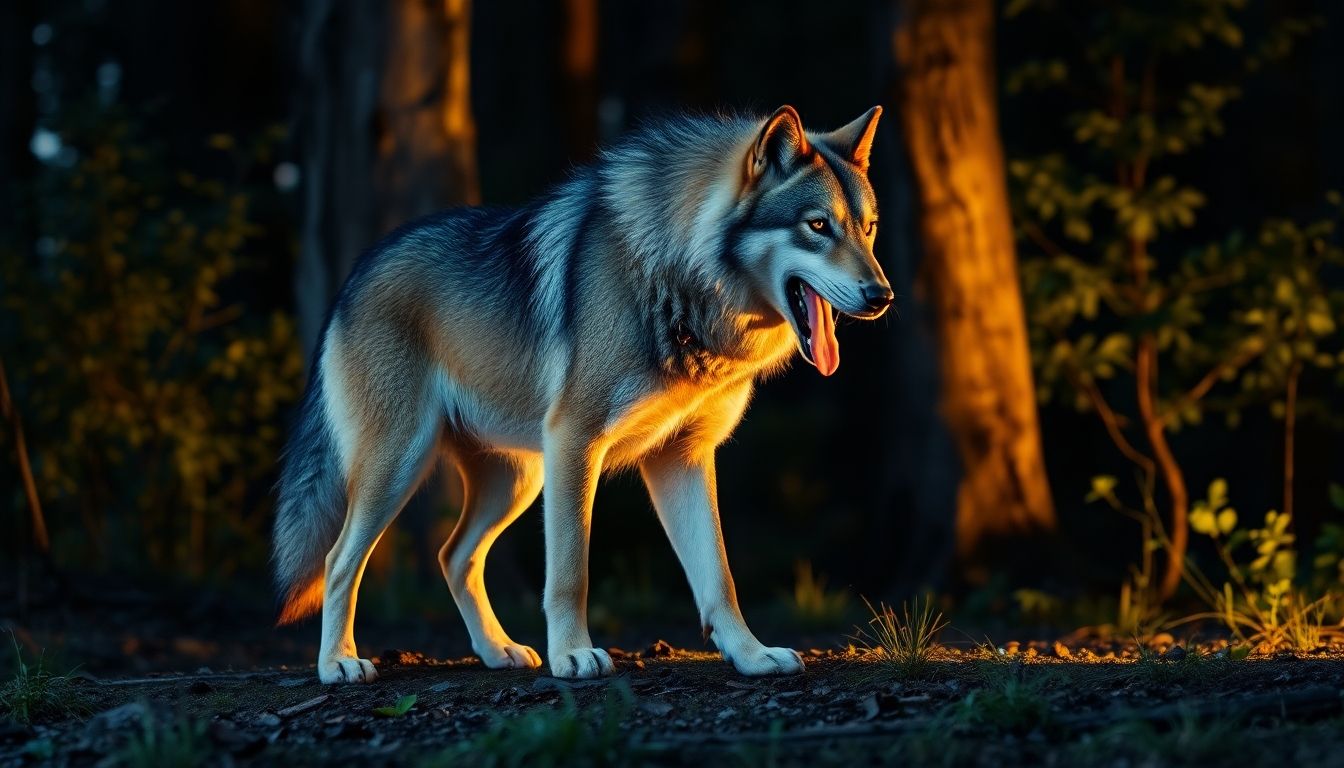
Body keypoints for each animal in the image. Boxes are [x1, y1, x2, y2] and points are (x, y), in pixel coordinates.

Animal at [272, 105, 893, 683]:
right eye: (818, 226)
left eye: (867, 229)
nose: (882, 295)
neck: (676, 274)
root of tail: (356, 274)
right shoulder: (577, 442)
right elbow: (572, 571)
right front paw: (572, 655)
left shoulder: (683, 456)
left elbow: (719, 577)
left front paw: (752, 656)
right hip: (403, 465)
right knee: (339, 560)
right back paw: (338, 663)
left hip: (517, 480)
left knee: (454, 556)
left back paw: (497, 651)